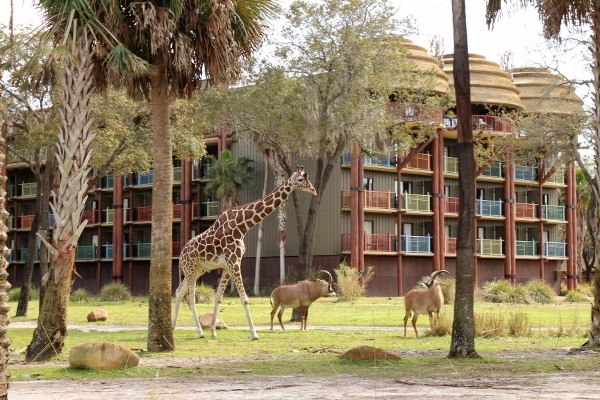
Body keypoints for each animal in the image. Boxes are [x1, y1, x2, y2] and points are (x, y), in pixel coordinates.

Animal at [171, 164, 316, 340]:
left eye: (308, 178)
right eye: (301, 179)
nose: (314, 190)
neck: (242, 226)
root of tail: (180, 256)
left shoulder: (229, 265)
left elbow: (218, 298)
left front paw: (213, 331)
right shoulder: (234, 262)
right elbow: (245, 299)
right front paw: (254, 334)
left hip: (197, 270)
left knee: (179, 292)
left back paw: (172, 327)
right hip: (191, 269)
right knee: (190, 296)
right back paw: (199, 332)